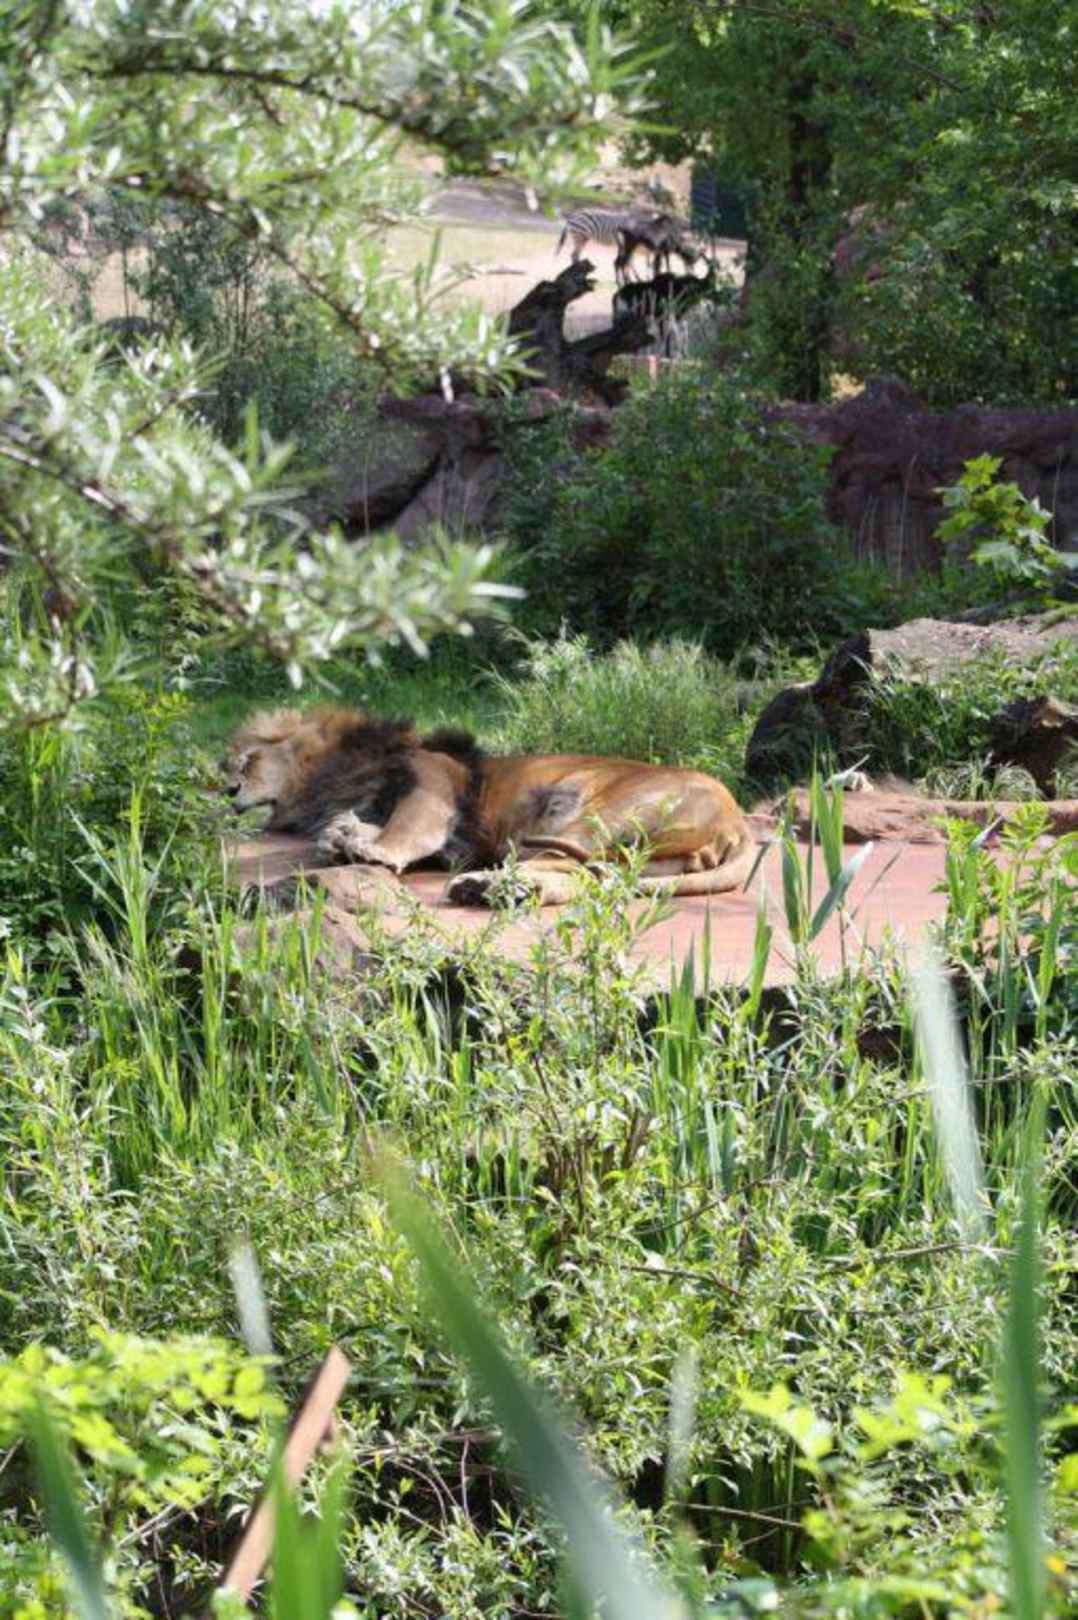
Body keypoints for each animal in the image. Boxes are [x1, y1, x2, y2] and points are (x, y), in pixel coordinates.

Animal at [223, 706, 758, 906]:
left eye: (246, 760)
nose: (225, 791)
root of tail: (740, 823)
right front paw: (341, 836)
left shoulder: (435, 783)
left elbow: (406, 830)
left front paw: (368, 849)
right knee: (597, 881)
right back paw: (488, 888)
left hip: (598, 812)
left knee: (578, 868)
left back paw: (488, 884)